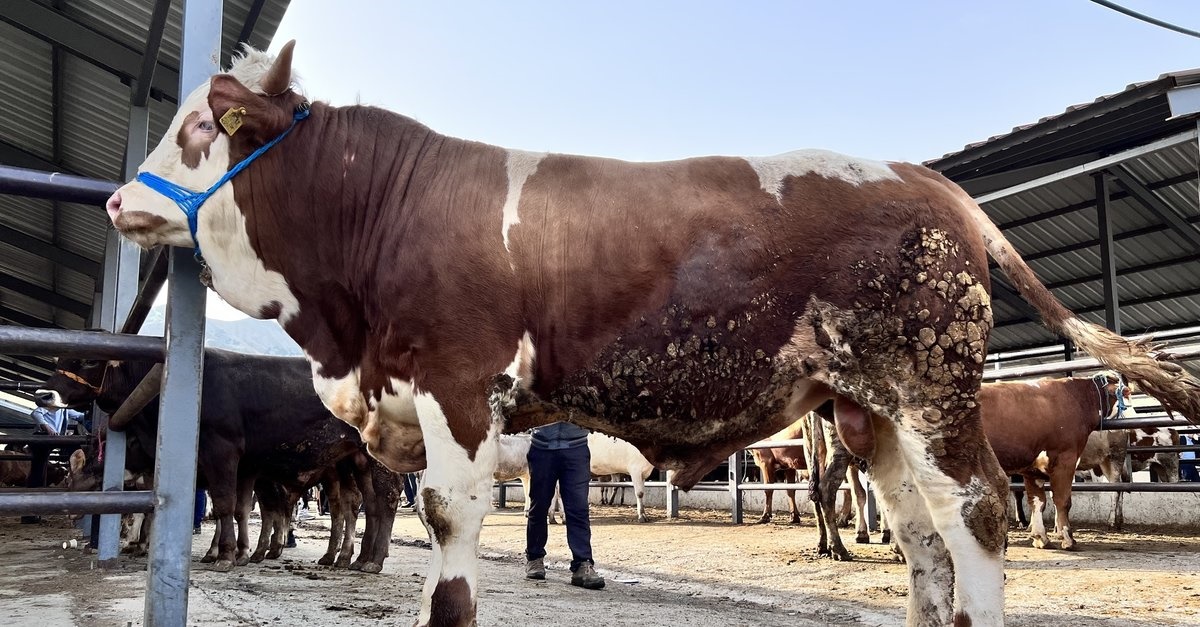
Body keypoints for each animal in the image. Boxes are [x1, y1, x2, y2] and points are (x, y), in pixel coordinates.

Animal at [979, 369, 1128, 547]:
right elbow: (1063, 500)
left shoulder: (1032, 469)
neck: (1077, 398)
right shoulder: (1066, 459)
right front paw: (1067, 538)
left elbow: (1037, 501)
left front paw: (1039, 537)